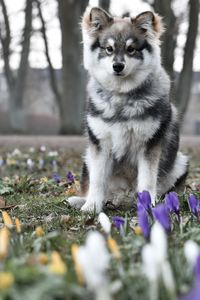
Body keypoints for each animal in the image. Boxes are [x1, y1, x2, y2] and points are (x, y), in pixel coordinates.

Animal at [68, 5, 188, 212]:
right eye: (109, 49)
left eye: (131, 49)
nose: (118, 66)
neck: (121, 95)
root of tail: (122, 197)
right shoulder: (100, 145)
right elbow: (97, 180)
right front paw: (92, 206)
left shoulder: (148, 145)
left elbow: (147, 180)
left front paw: (148, 205)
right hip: (87, 159)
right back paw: (83, 200)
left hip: (180, 162)